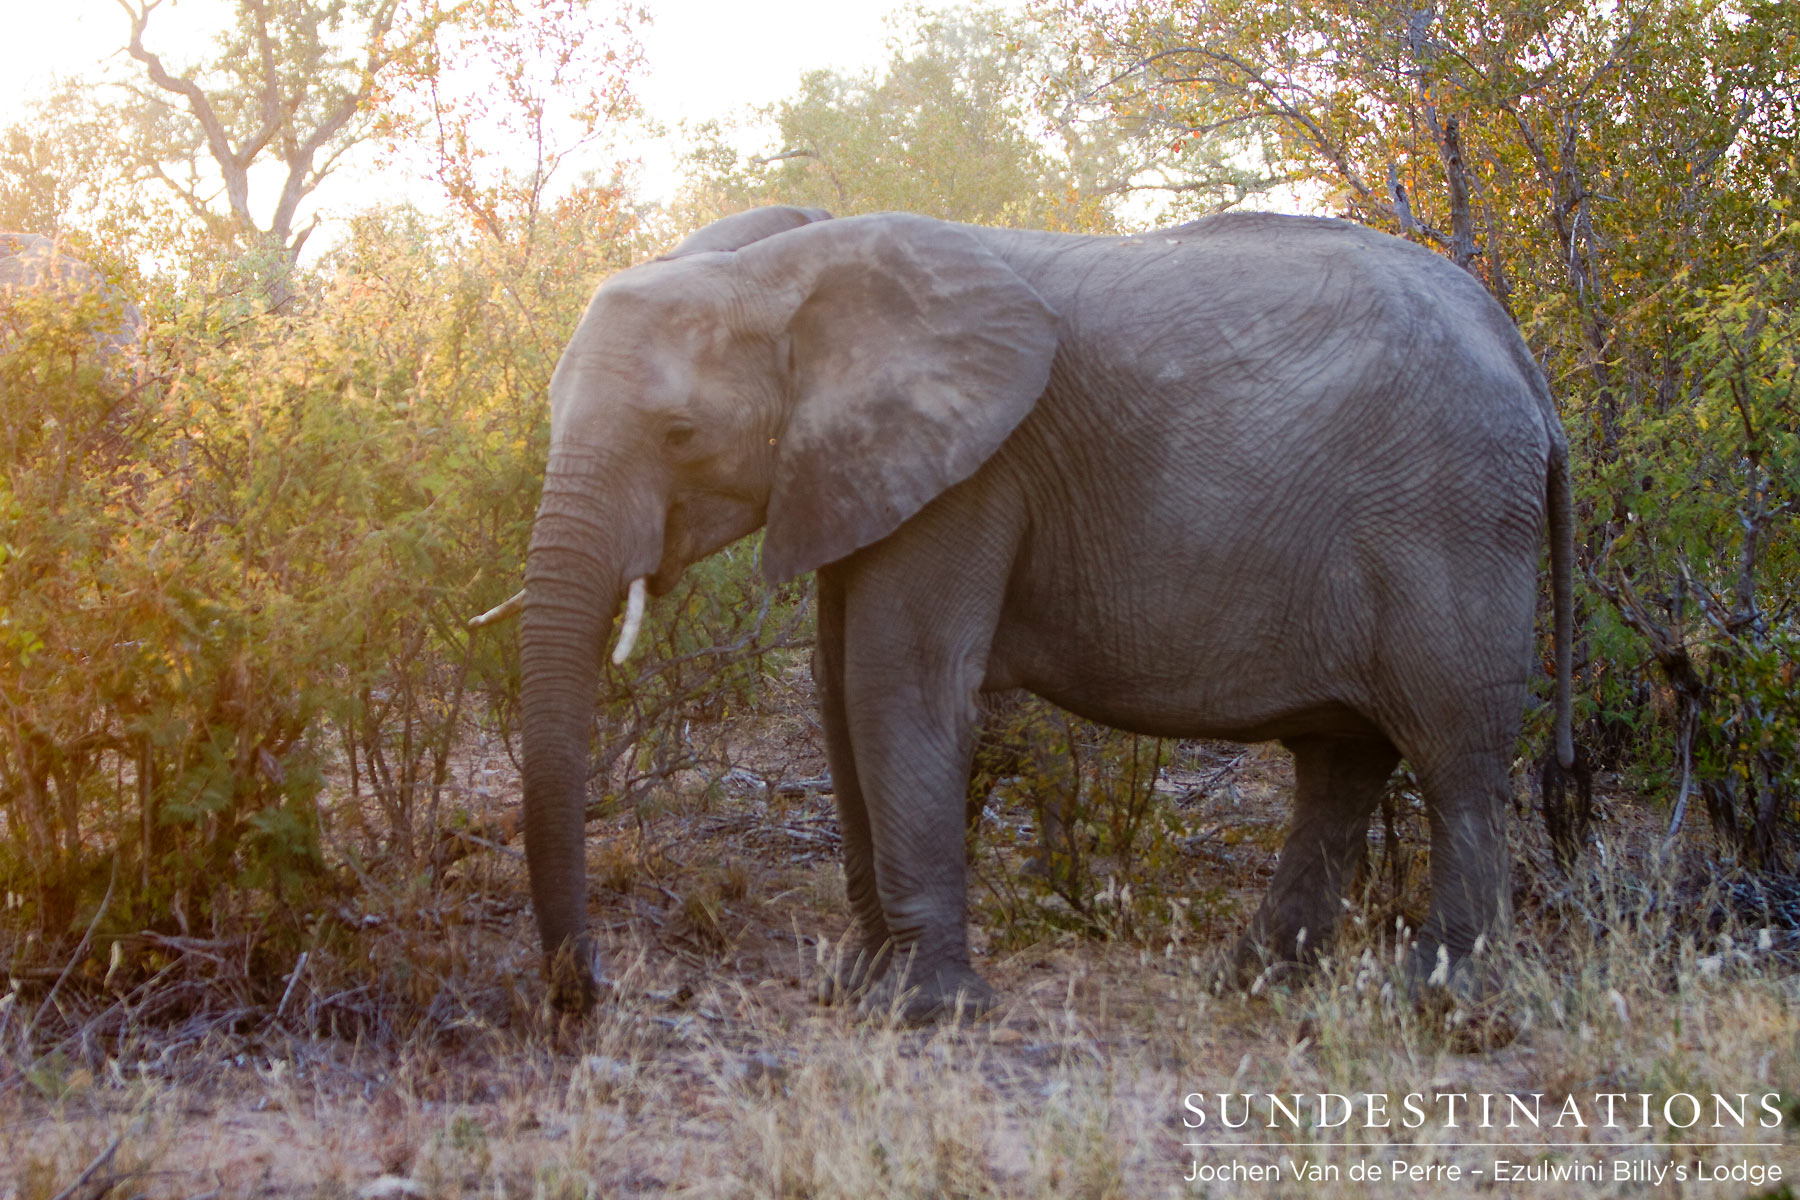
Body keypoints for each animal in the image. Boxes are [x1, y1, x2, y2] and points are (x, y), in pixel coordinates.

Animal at [518, 203, 1574, 1020]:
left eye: (679, 434)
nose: (596, 989)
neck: (785, 269)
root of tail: (1526, 358)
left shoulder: (973, 475)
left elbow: (896, 687)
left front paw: (926, 1014)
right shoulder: (856, 471)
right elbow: (837, 690)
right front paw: (858, 989)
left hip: (1451, 516)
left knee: (1453, 755)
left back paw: (1439, 1001)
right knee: (1341, 762)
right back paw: (1249, 984)